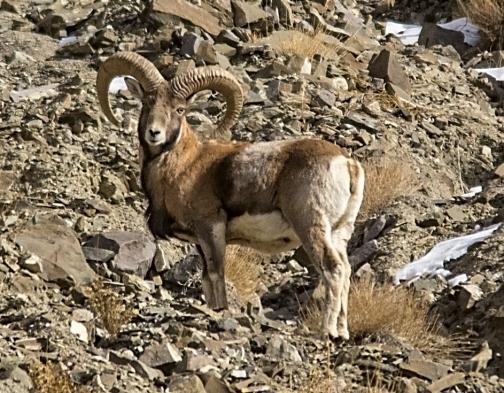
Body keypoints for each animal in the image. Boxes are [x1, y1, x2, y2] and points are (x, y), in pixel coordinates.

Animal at [95, 51, 362, 340]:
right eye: (146, 103)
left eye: (180, 109)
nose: (154, 133)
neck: (185, 165)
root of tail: (347, 164)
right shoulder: (199, 241)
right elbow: (206, 280)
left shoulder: (211, 228)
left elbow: (217, 275)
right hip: (338, 232)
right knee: (346, 270)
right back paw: (343, 331)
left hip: (311, 226)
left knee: (333, 269)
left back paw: (327, 332)